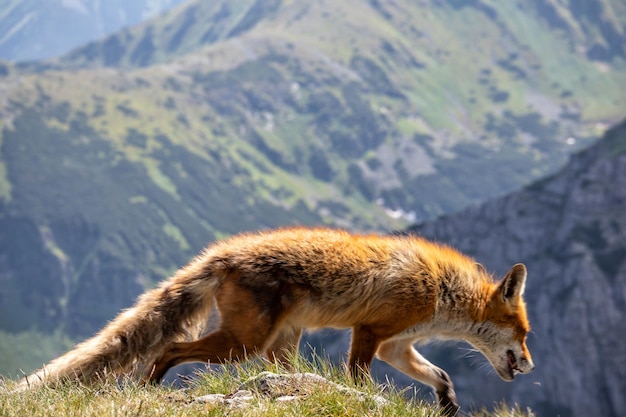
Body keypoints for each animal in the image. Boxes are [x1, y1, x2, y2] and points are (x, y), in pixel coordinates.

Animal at [15, 226, 532, 414]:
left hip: (276, 346)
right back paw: (149, 389)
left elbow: (440, 375)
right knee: (168, 348)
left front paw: (448, 403)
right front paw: (368, 399)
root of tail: (223, 252)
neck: (440, 288)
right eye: (524, 334)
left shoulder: (396, 344)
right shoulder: (370, 333)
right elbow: (359, 378)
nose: (529, 365)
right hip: (240, 344)